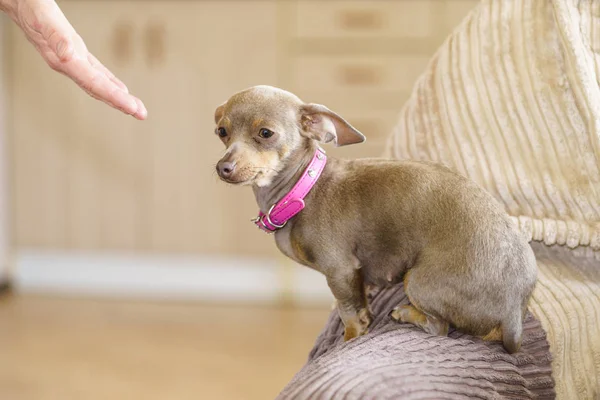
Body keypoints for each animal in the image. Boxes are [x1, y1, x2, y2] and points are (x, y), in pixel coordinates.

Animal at [214, 85, 540, 354]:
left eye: (265, 133)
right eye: (221, 131)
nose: (223, 167)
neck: (303, 188)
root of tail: (513, 313)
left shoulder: (340, 270)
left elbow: (350, 314)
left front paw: (350, 338)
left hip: (418, 280)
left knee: (440, 326)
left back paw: (406, 313)